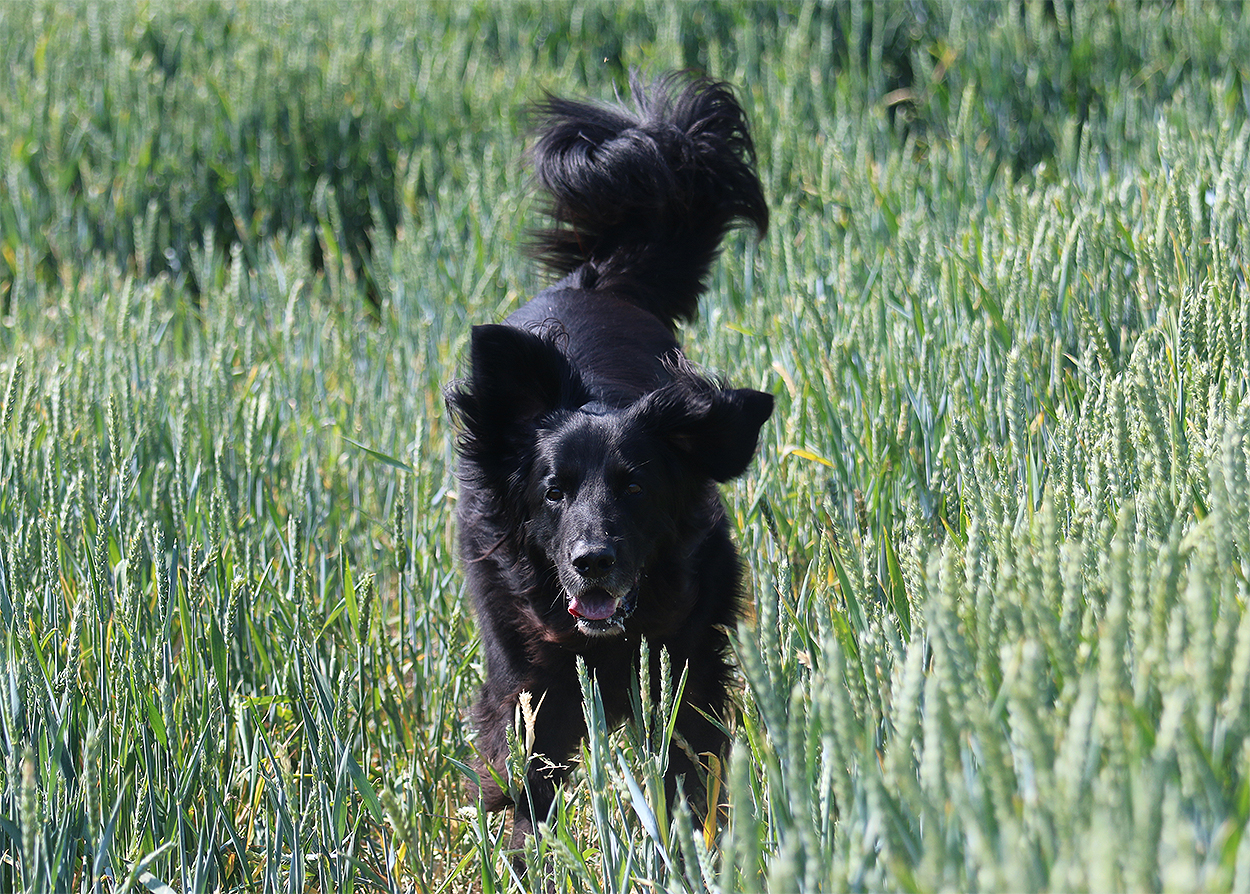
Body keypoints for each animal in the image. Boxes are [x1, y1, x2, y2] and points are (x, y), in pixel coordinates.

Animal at [446, 71, 772, 848]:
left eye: (635, 487)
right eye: (552, 491)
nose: (592, 560)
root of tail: (594, 280)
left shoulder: (689, 664)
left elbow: (689, 775)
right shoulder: (526, 687)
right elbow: (517, 786)